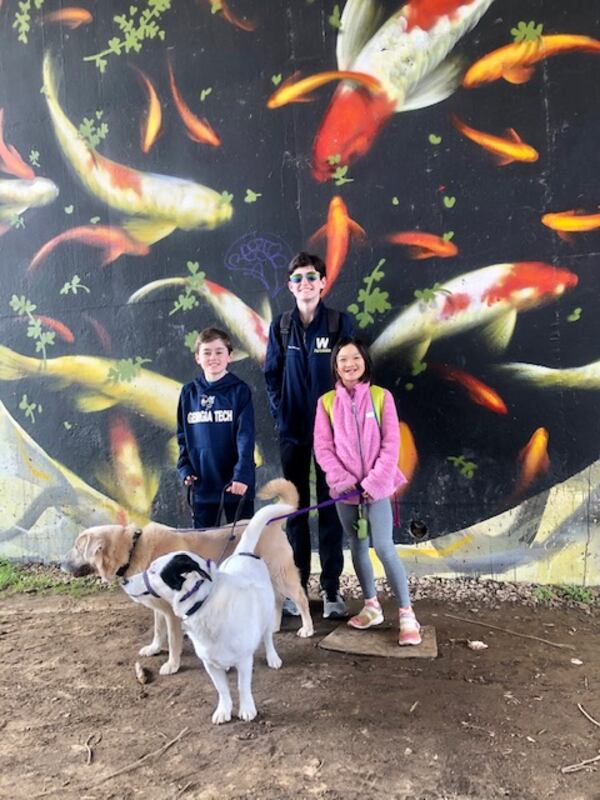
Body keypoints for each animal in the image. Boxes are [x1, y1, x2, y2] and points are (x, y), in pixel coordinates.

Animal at [61, 478, 314, 672]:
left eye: (77, 547)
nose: (62, 564)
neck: (132, 548)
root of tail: (271, 522)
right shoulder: (159, 609)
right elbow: (158, 631)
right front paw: (154, 648)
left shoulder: (172, 612)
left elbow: (173, 641)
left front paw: (172, 665)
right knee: (277, 599)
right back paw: (274, 625)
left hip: (281, 574)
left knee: (300, 599)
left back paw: (307, 628)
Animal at [122, 504, 292, 720]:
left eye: (153, 571)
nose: (124, 581)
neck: (204, 602)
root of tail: (244, 553)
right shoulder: (208, 663)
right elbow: (222, 689)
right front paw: (224, 710)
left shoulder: (244, 661)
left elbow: (242, 686)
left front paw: (247, 709)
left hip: (268, 615)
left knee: (268, 638)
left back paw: (273, 658)